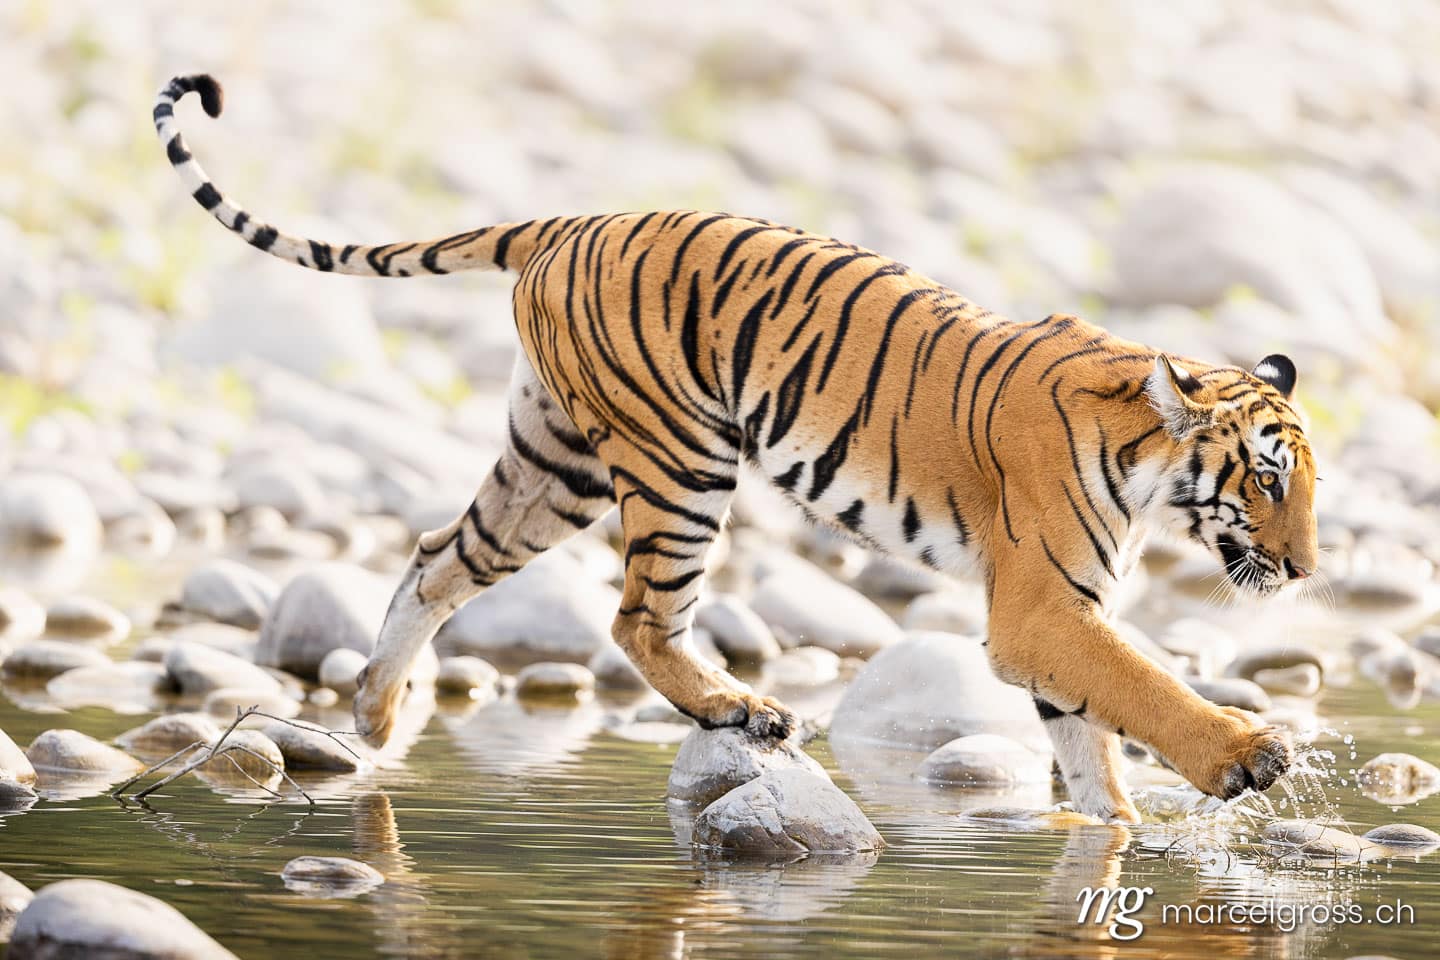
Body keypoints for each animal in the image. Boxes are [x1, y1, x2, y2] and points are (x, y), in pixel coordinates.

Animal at [156, 75, 1317, 822]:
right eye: (1265, 481)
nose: (1306, 570)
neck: (1147, 467)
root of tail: (568, 222)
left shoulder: (1053, 621)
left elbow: (1090, 742)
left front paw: (1117, 834)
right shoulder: (1040, 609)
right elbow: (1143, 684)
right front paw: (1248, 755)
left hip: (556, 465)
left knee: (440, 558)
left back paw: (376, 711)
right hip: (678, 463)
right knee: (635, 617)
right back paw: (740, 710)